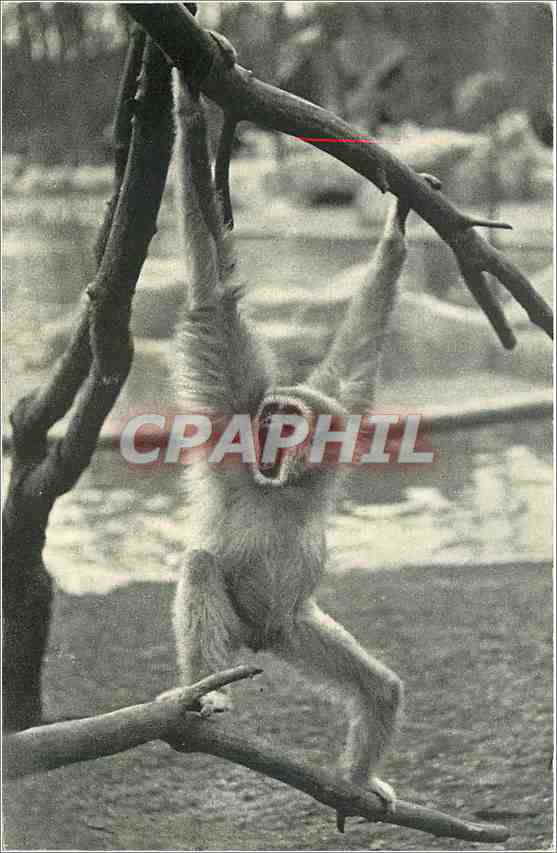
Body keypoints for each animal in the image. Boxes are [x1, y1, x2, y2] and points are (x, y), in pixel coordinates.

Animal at [170, 68, 437, 815]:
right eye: (267, 417)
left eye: (288, 419)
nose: (268, 426)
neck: (285, 481)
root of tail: (260, 637)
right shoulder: (231, 408)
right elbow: (214, 298)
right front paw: (190, 105)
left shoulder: (340, 414)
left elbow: (354, 358)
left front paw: (395, 232)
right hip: (244, 628)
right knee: (202, 565)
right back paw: (203, 700)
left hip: (291, 625)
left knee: (380, 689)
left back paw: (355, 784)